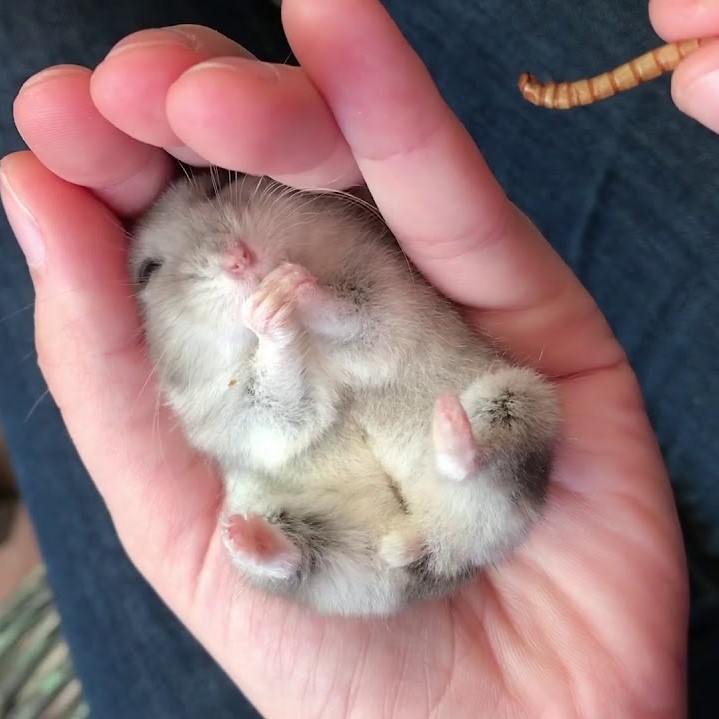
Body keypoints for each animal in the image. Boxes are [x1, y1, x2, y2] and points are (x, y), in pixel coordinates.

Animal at [129, 170, 559, 616]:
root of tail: (413, 541)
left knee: (479, 468)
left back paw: (450, 424)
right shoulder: (242, 412)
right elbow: (282, 399)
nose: (239, 260)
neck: (307, 339)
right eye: (148, 270)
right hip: (286, 522)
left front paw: (288, 282)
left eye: (213, 188)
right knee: (300, 560)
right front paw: (265, 308)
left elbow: (351, 314)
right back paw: (246, 536)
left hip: (519, 404)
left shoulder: (390, 294)